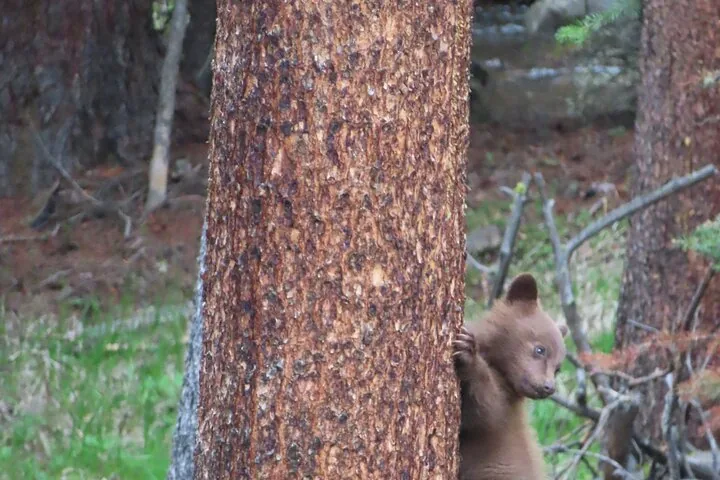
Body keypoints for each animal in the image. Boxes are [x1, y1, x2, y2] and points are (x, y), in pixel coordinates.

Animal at [453, 272, 568, 480]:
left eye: (558, 368)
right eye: (540, 349)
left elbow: (484, 409)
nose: (549, 387)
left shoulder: (504, 407)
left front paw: (468, 352)